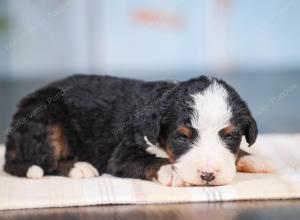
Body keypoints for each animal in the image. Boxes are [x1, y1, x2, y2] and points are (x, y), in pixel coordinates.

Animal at [3, 75, 274, 186]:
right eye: (182, 137)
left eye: (230, 136)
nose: (208, 175)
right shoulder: (123, 153)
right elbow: (149, 161)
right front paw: (171, 172)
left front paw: (254, 159)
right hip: (47, 118)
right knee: (45, 162)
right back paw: (79, 167)